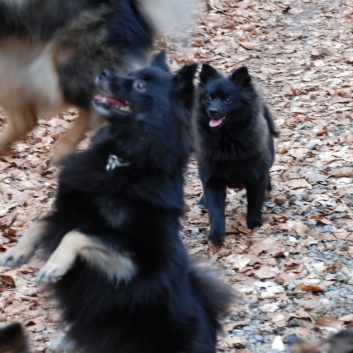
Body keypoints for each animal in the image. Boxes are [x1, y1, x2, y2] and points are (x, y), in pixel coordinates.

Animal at [2, 52, 235, 352]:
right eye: (132, 74)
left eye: (140, 85)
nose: (102, 73)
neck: (120, 161)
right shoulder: (69, 212)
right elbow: (42, 223)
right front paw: (17, 252)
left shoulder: (133, 264)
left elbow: (79, 235)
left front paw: (54, 265)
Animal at [194, 63, 276, 243]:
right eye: (208, 98)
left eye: (228, 99)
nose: (212, 111)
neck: (227, 140)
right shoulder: (212, 179)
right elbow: (216, 211)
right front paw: (216, 234)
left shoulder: (256, 176)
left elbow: (254, 201)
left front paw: (254, 222)